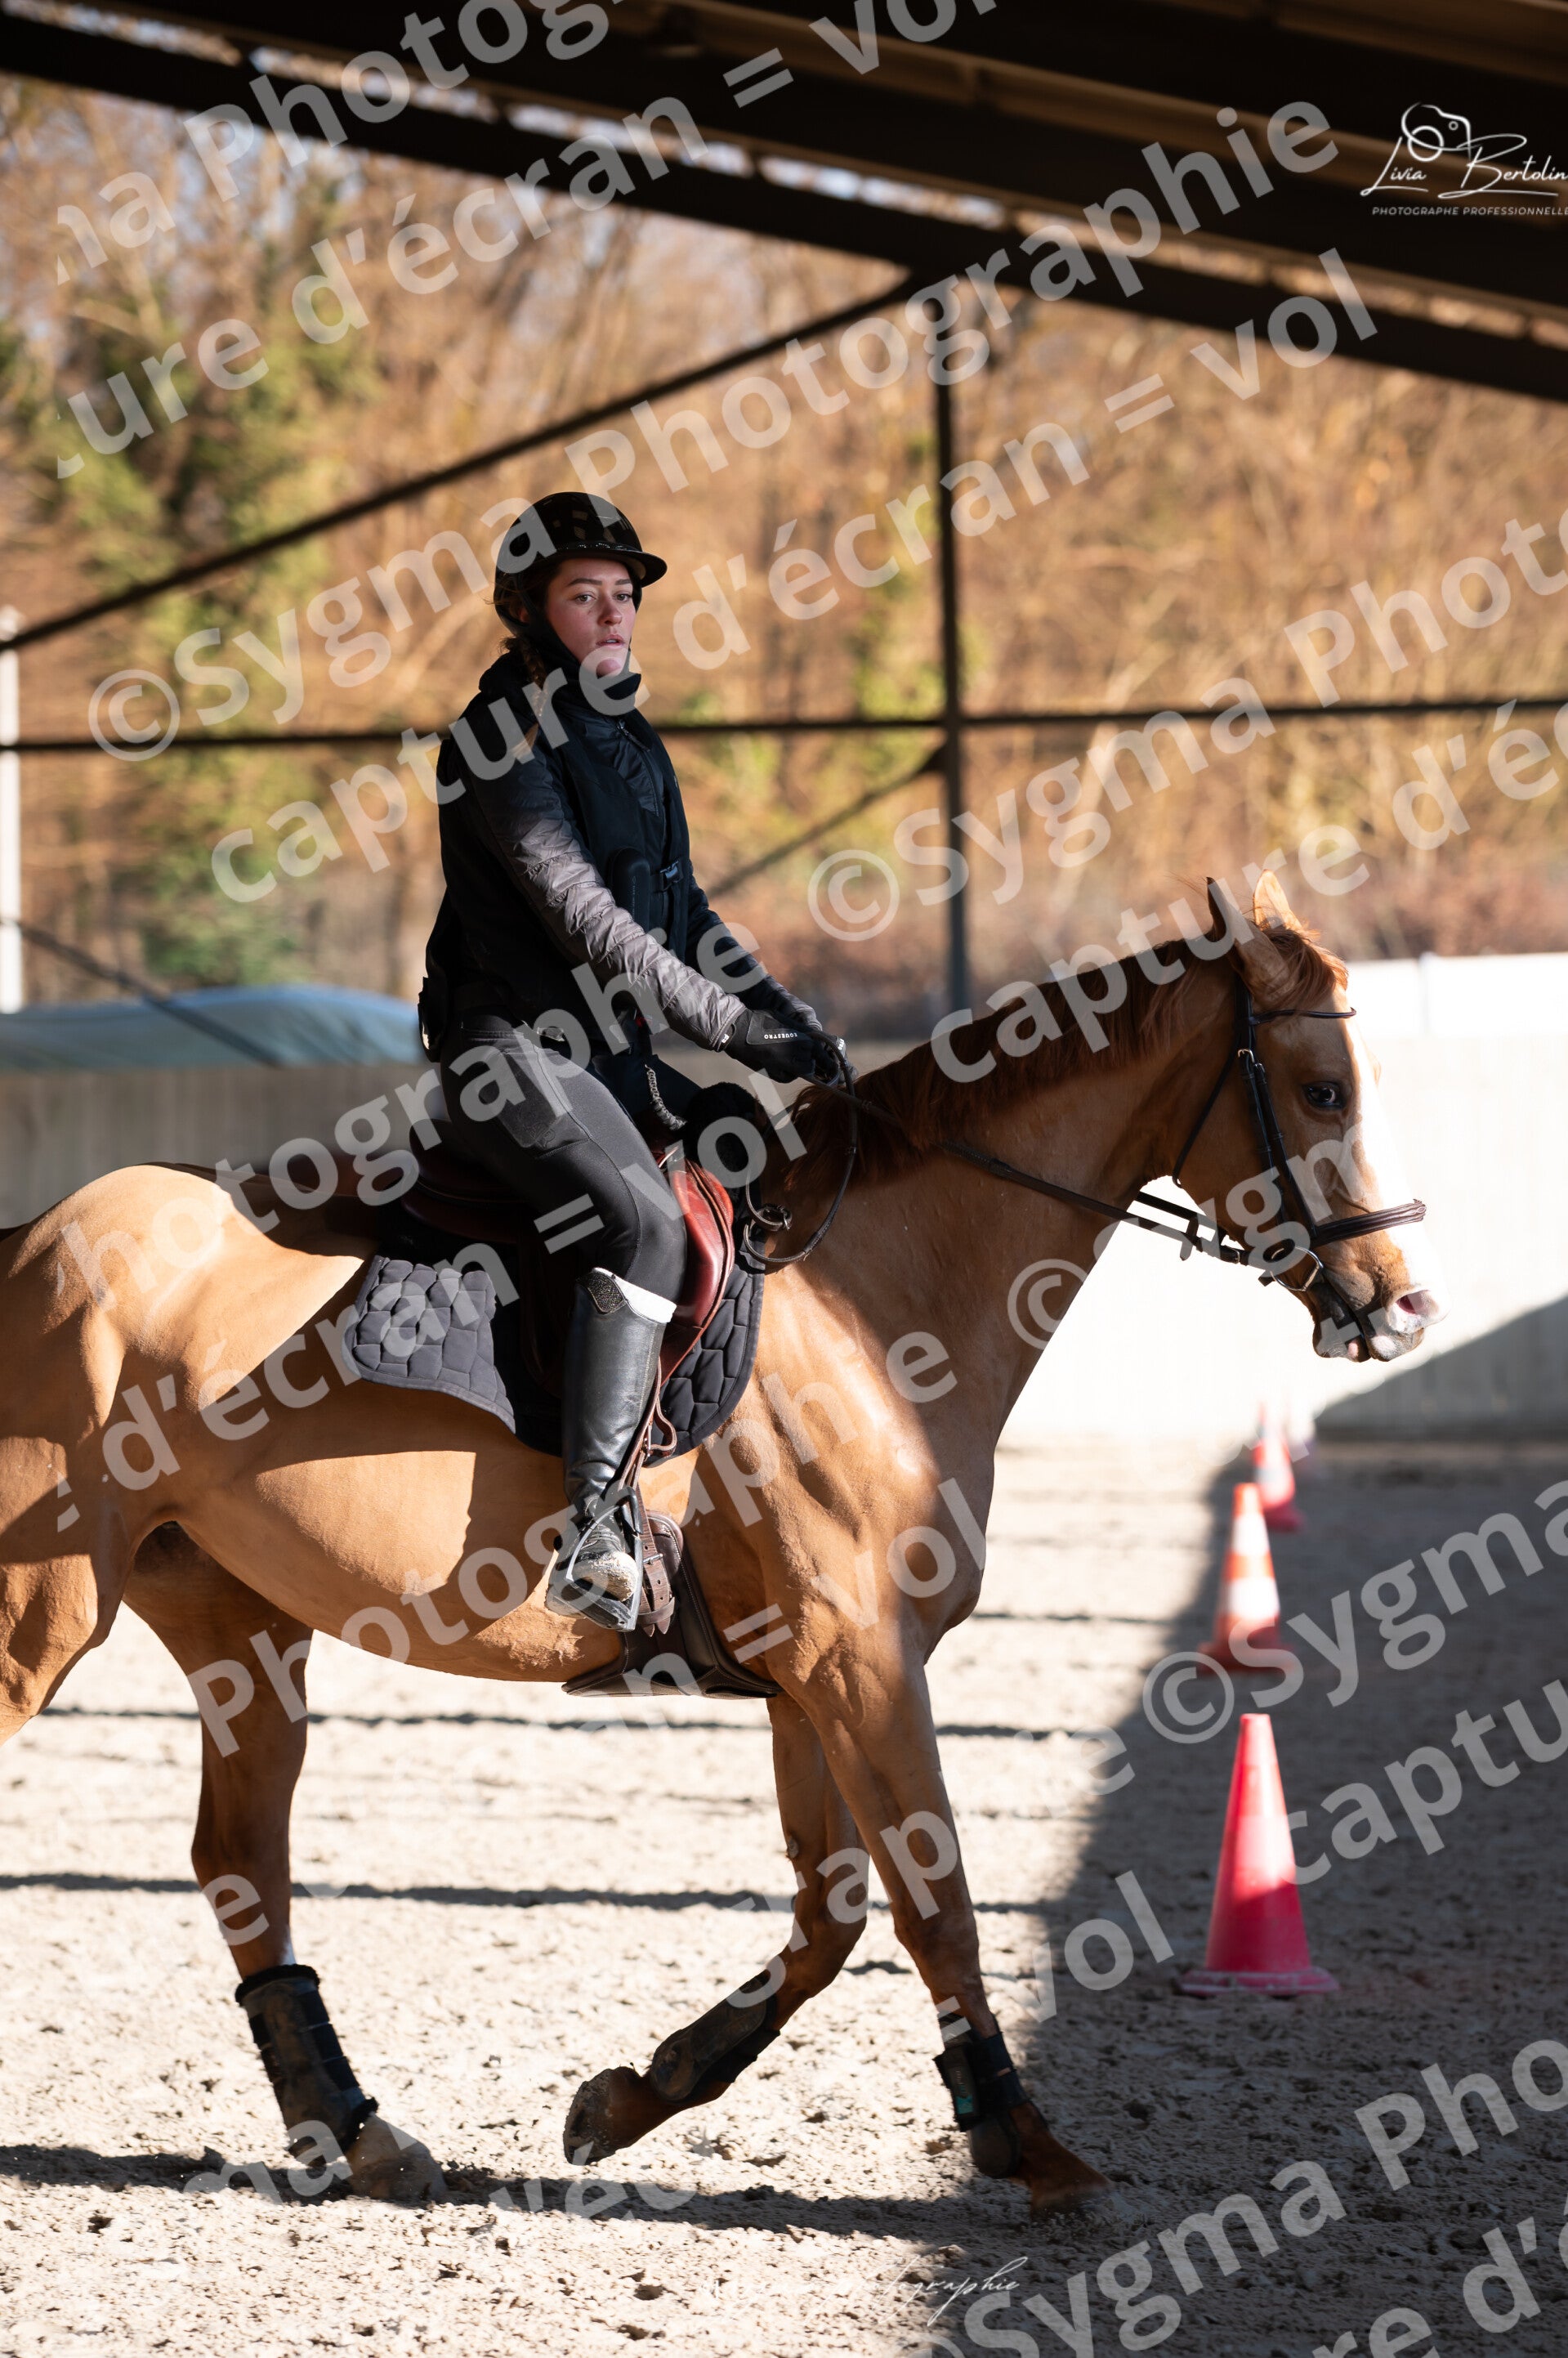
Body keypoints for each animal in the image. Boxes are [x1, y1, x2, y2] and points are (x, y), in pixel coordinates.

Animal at [0, 877, 1445, 2216]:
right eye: (1319, 1089)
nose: (1396, 1309)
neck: (871, 1302)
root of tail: (36, 1238)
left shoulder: (810, 1679)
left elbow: (832, 1910)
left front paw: (635, 2093)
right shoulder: (858, 1659)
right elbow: (933, 1899)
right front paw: (1024, 2141)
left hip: (237, 1624)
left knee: (240, 1860)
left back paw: (358, 2135)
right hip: (46, 1607)